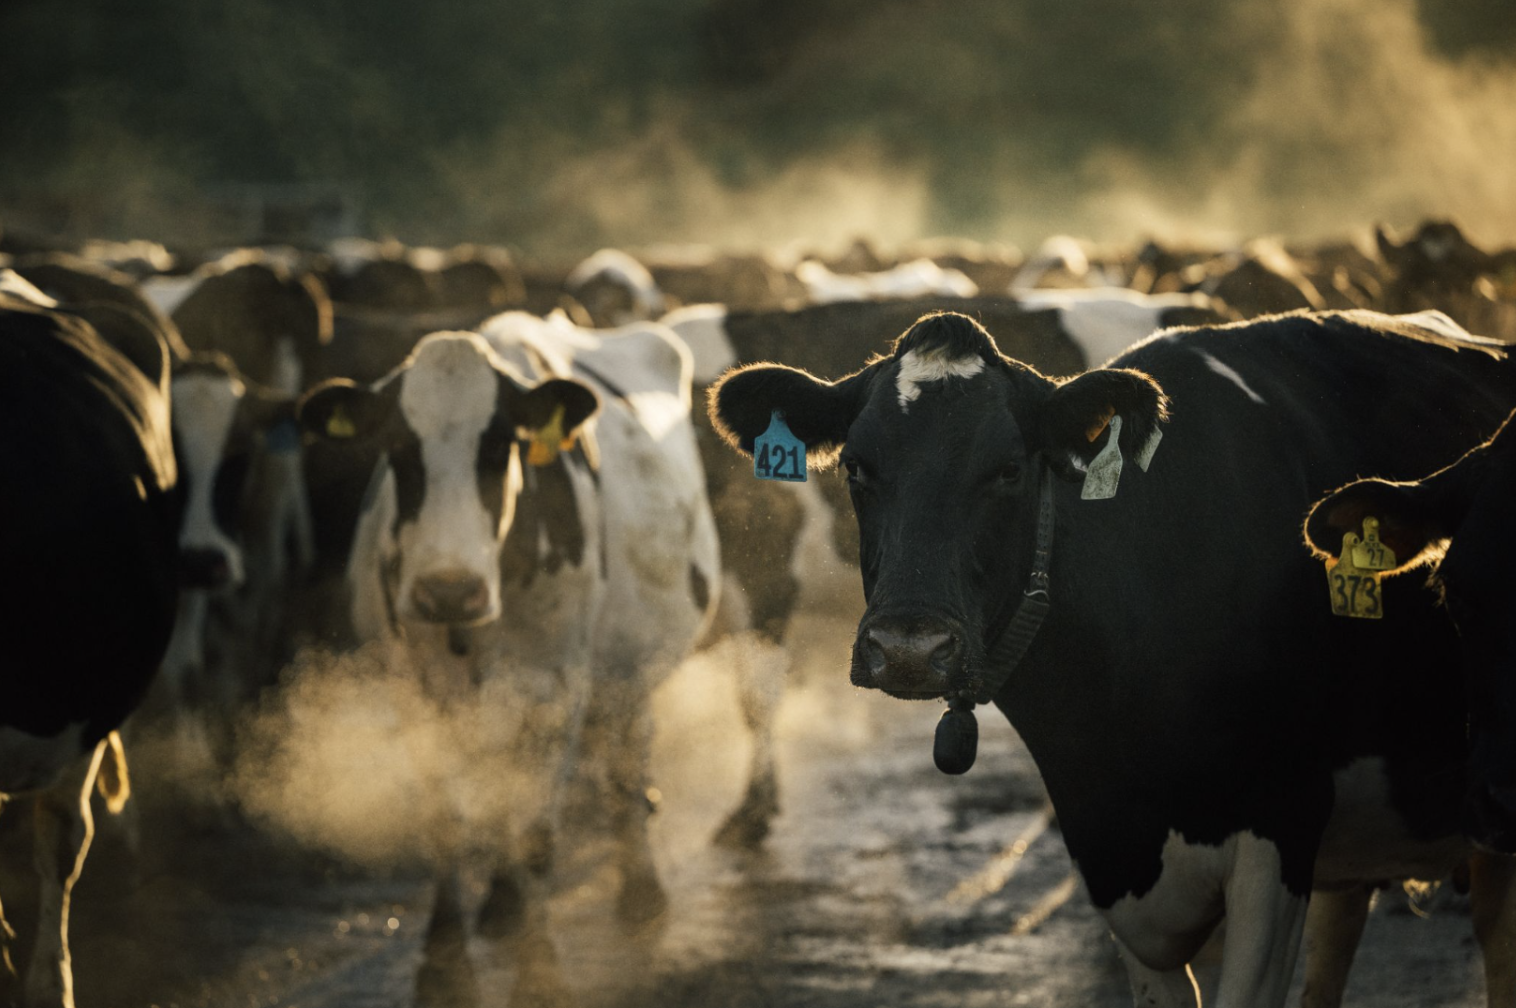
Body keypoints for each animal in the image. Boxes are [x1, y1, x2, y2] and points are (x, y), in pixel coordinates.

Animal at [296, 313, 725, 1007]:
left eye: (501, 446)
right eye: (397, 447)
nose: (448, 590)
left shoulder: (556, 686)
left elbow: (537, 834)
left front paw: (538, 967)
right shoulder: (414, 689)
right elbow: (447, 821)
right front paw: (445, 960)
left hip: (626, 667)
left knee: (626, 751)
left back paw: (639, 890)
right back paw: (501, 904)